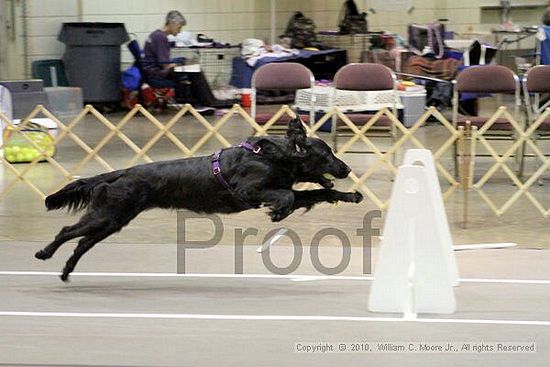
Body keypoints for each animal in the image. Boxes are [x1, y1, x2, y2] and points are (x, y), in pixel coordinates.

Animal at [34, 118, 362, 282]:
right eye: (327, 154)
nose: (347, 169)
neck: (274, 156)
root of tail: (120, 173)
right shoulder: (248, 191)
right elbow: (288, 195)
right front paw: (278, 212)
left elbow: (317, 193)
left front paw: (351, 194)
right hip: (107, 215)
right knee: (67, 232)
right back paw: (44, 253)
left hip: (112, 220)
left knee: (81, 242)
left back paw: (66, 271)